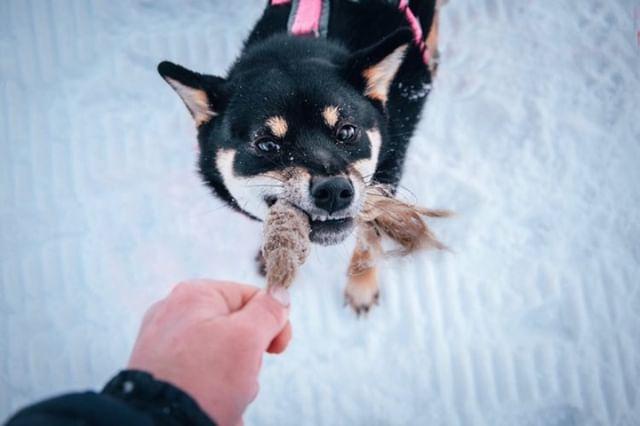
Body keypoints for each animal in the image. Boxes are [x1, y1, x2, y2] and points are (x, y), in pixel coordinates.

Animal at [158, 0, 442, 312]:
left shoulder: (387, 175)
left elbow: (368, 234)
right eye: (267, 145)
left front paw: (361, 284)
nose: (334, 191)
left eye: (347, 131)